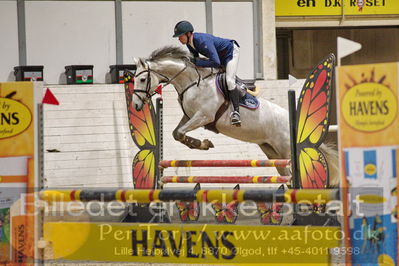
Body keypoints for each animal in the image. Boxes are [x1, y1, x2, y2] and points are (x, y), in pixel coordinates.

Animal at [133, 46, 340, 187]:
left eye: (142, 79)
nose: (135, 105)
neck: (192, 82)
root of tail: (294, 122)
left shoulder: (203, 116)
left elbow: (180, 133)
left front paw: (203, 144)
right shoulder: (189, 117)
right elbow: (177, 133)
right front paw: (202, 144)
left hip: (286, 152)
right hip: (273, 152)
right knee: (287, 177)